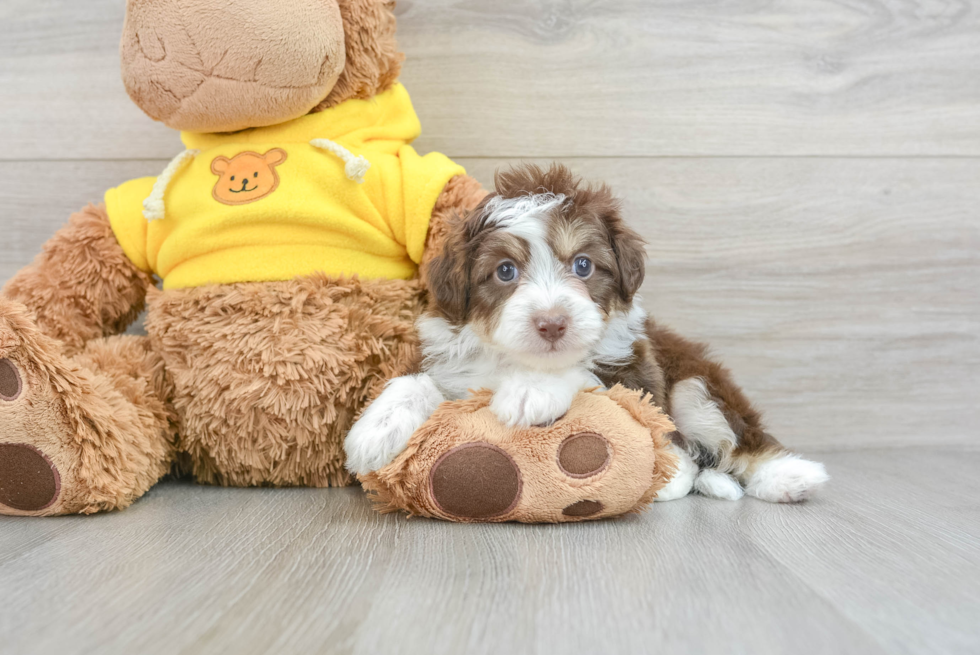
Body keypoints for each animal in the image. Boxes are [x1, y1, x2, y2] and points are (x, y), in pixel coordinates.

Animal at [344, 164, 828, 502]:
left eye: (583, 265)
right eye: (505, 271)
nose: (552, 322)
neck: (513, 358)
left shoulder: (635, 368)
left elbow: (584, 373)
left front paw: (531, 390)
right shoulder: (450, 357)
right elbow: (417, 380)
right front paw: (376, 429)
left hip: (696, 383)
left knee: (735, 441)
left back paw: (786, 477)